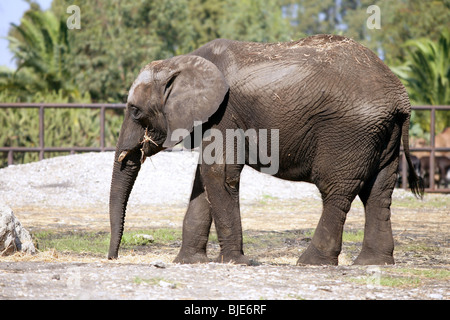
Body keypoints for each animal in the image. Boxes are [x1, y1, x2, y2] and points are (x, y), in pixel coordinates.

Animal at [107, 33, 424, 266]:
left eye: (135, 111)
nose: (113, 257)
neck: (180, 62)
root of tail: (401, 96)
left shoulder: (225, 113)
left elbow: (217, 173)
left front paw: (235, 263)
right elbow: (203, 179)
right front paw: (188, 262)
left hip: (349, 132)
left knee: (337, 191)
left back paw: (311, 263)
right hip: (383, 134)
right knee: (378, 192)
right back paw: (373, 263)